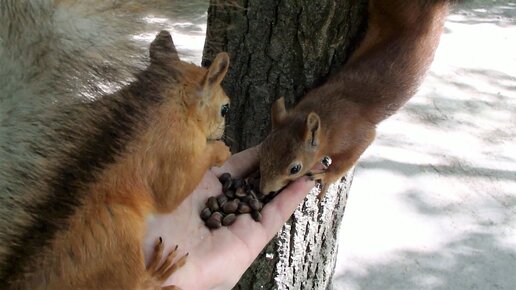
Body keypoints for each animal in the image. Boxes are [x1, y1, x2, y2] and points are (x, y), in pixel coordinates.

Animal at [260, 0, 454, 197]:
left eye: (295, 169)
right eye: (263, 149)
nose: (263, 191)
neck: (325, 113)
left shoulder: (353, 133)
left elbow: (358, 148)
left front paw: (327, 177)